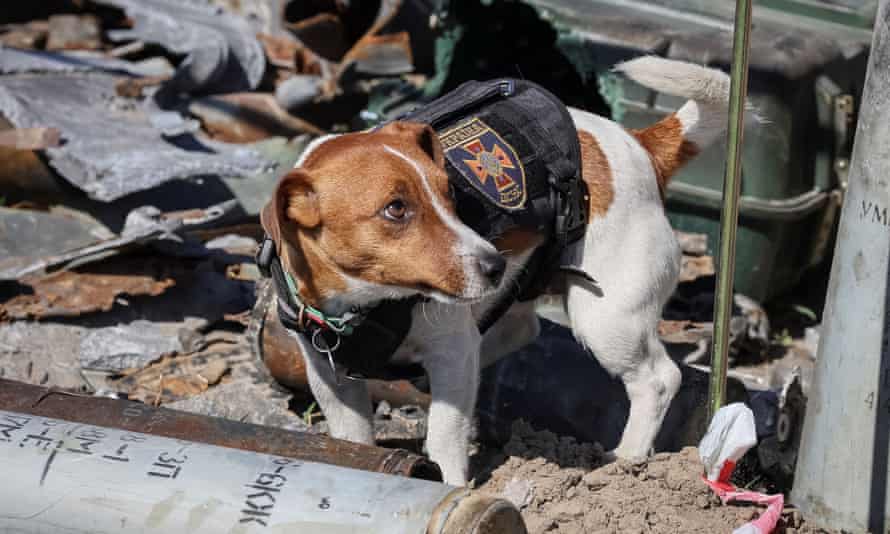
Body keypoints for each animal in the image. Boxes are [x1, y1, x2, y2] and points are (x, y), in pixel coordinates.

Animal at [260, 57, 740, 486]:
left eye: (450, 194)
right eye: (396, 209)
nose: (494, 265)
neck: (363, 302)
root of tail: (640, 146)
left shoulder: (451, 349)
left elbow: (445, 435)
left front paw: (448, 486)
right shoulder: (331, 378)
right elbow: (353, 436)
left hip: (608, 318)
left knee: (658, 380)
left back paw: (627, 460)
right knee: (519, 330)